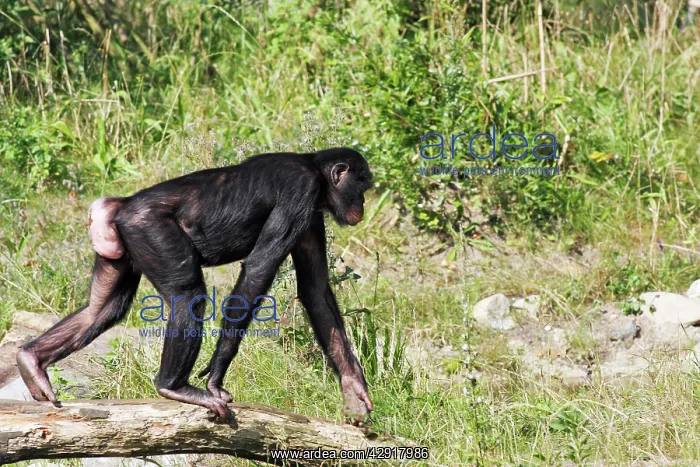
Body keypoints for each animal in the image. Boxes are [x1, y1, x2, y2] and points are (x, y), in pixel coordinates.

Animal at [16, 147, 374, 424]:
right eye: (363, 186)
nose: (364, 204)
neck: (314, 170)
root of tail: (119, 205)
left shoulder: (311, 217)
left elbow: (316, 290)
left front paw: (353, 388)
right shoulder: (299, 190)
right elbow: (258, 270)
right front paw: (216, 375)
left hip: (120, 247)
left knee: (101, 308)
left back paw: (31, 361)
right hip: (150, 230)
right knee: (188, 295)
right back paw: (173, 387)